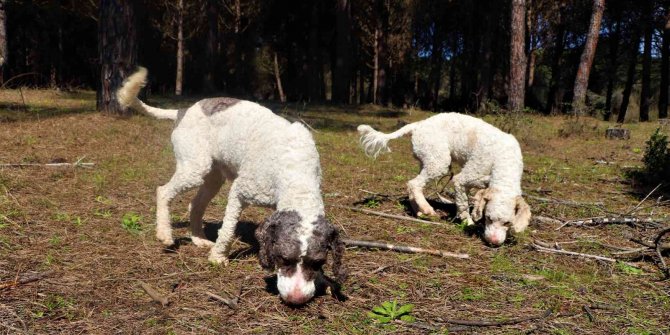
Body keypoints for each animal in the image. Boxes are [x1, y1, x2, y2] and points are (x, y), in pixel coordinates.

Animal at [117, 67, 346, 306]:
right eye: (284, 258)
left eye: (318, 262)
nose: (296, 298)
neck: (295, 169)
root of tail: (183, 110)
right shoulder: (240, 192)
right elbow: (227, 230)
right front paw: (218, 257)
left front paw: (324, 281)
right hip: (195, 168)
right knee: (163, 191)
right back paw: (165, 233)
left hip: (212, 177)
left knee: (194, 205)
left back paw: (198, 239)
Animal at [360, 113, 532, 247]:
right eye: (488, 218)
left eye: (507, 223)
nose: (493, 242)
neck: (504, 160)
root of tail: (418, 125)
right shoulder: (462, 179)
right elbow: (462, 203)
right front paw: (468, 222)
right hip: (439, 161)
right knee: (414, 184)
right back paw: (427, 209)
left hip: (427, 161)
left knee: (413, 185)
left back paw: (419, 211)